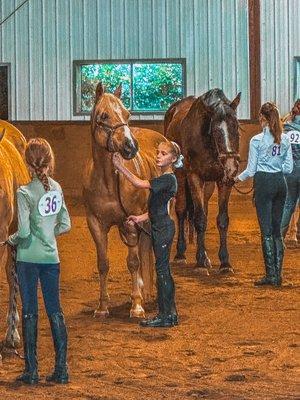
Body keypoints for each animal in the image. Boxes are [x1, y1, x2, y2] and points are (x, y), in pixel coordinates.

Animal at [82, 82, 166, 318]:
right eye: (103, 115)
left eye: (127, 114)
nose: (130, 147)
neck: (108, 181)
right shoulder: (96, 224)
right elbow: (103, 263)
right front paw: (102, 307)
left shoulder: (130, 222)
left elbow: (133, 262)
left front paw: (136, 306)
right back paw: (146, 292)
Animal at [164, 88, 241, 276]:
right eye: (215, 131)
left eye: (236, 127)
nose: (231, 167)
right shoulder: (194, 177)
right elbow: (199, 219)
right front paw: (199, 263)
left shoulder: (223, 181)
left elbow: (222, 220)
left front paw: (225, 263)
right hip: (181, 176)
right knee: (182, 211)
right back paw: (181, 254)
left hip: (209, 185)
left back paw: (206, 257)